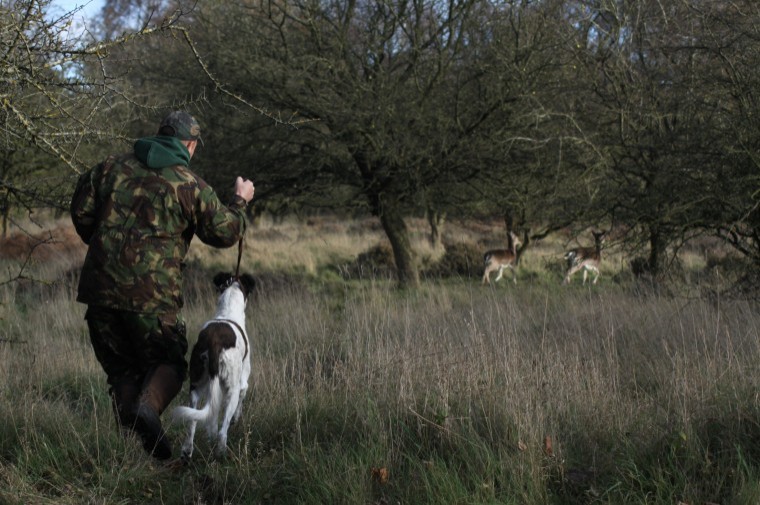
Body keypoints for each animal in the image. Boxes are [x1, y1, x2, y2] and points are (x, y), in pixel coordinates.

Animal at [172, 274, 255, 458]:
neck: (227, 311)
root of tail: (214, 343)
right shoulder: (242, 382)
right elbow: (242, 398)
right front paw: (236, 419)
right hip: (231, 389)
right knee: (222, 432)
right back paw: (221, 453)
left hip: (195, 387)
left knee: (193, 422)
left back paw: (187, 451)